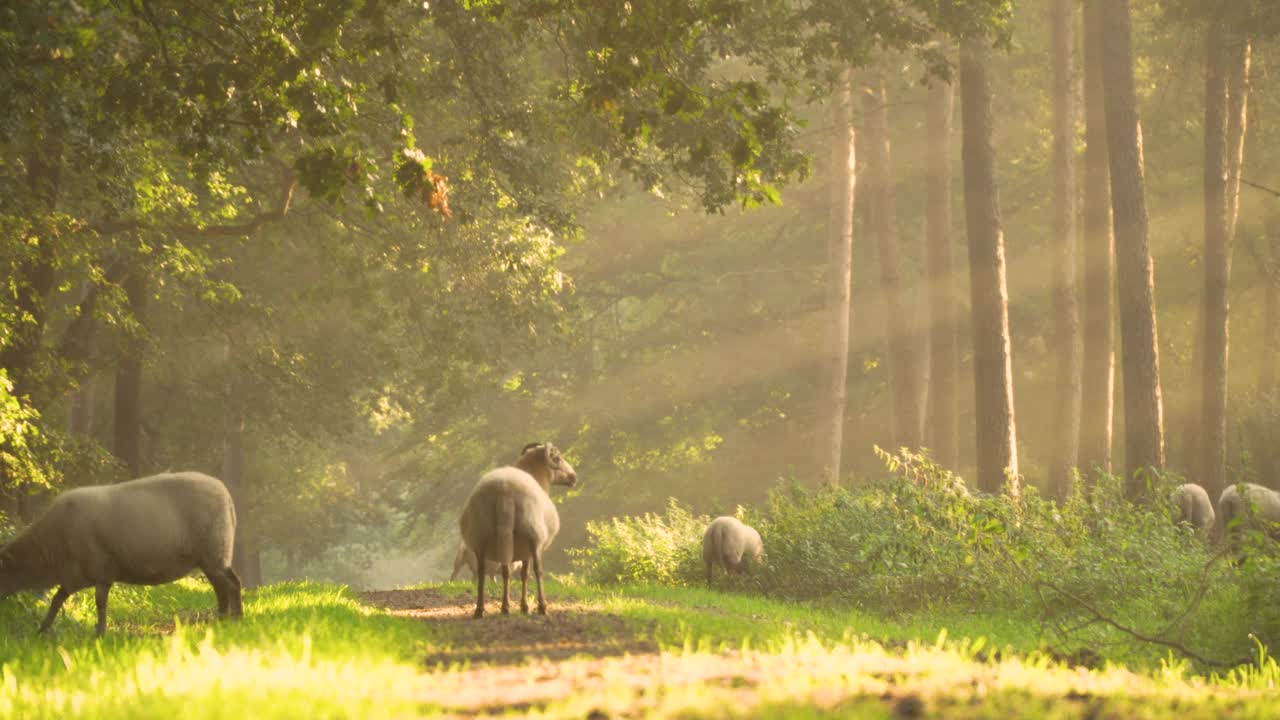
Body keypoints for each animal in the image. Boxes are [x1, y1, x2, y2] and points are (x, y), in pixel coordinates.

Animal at [0, 471, 241, 632]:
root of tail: (226, 495)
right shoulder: (77, 575)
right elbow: (58, 599)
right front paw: (43, 630)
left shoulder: (100, 571)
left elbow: (100, 603)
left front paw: (100, 633)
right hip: (211, 558)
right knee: (222, 587)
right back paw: (223, 620)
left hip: (215, 551)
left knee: (232, 584)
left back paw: (237, 618)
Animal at [458, 440, 578, 614]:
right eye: (558, 458)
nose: (574, 477)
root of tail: (504, 492)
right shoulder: (528, 546)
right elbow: (526, 573)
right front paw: (525, 605)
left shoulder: (521, 549)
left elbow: (520, 573)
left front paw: (523, 605)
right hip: (533, 534)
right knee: (537, 570)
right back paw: (541, 606)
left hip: (480, 536)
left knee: (486, 572)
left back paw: (483, 609)